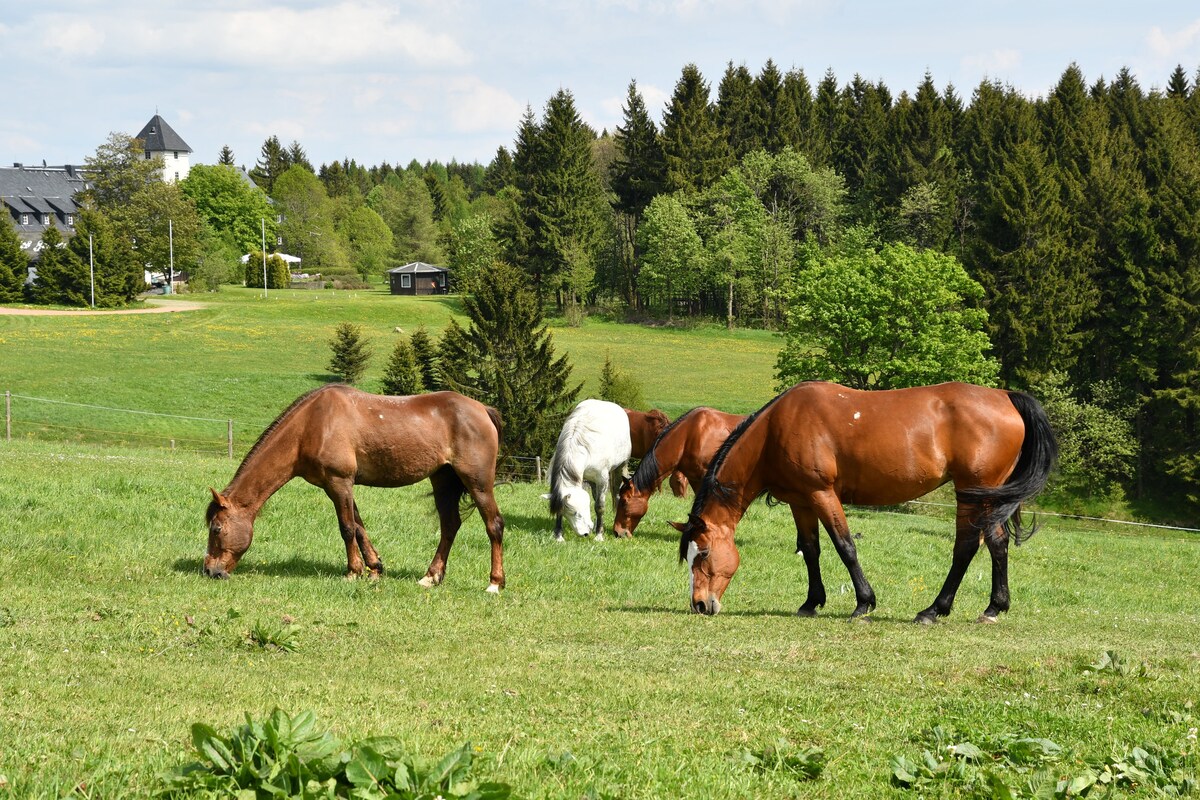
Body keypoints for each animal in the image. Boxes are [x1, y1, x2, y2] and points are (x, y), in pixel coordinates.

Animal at [206, 383, 506, 592]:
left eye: (217, 529)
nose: (210, 571)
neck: (311, 425)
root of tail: (483, 410)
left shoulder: (339, 482)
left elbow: (347, 527)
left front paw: (352, 572)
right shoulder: (339, 486)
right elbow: (359, 527)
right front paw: (374, 568)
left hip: (478, 483)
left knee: (494, 525)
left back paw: (494, 583)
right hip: (443, 480)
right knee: (450, 525)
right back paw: (431, 577)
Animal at [547, 398, 633, 542]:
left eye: (576, 513)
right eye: (566, 513)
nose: (584, 534)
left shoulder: (602, 479)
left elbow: (600, 506)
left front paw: (599, 535)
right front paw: (559, 536)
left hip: (620, 466)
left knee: (616, 493)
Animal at [676, 383, 1060, 623]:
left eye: (704, 553)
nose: (699, 604)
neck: (775, 430)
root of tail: (1005, 397)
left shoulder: (822, 494)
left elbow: (845, 546)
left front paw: (863, 603)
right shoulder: (801, 501)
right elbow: (810, 549)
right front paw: (811, 602)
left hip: (974, 492)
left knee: (966, 546)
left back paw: (933, 610)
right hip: (988, 497)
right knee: (997, 543)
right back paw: (993, 608)